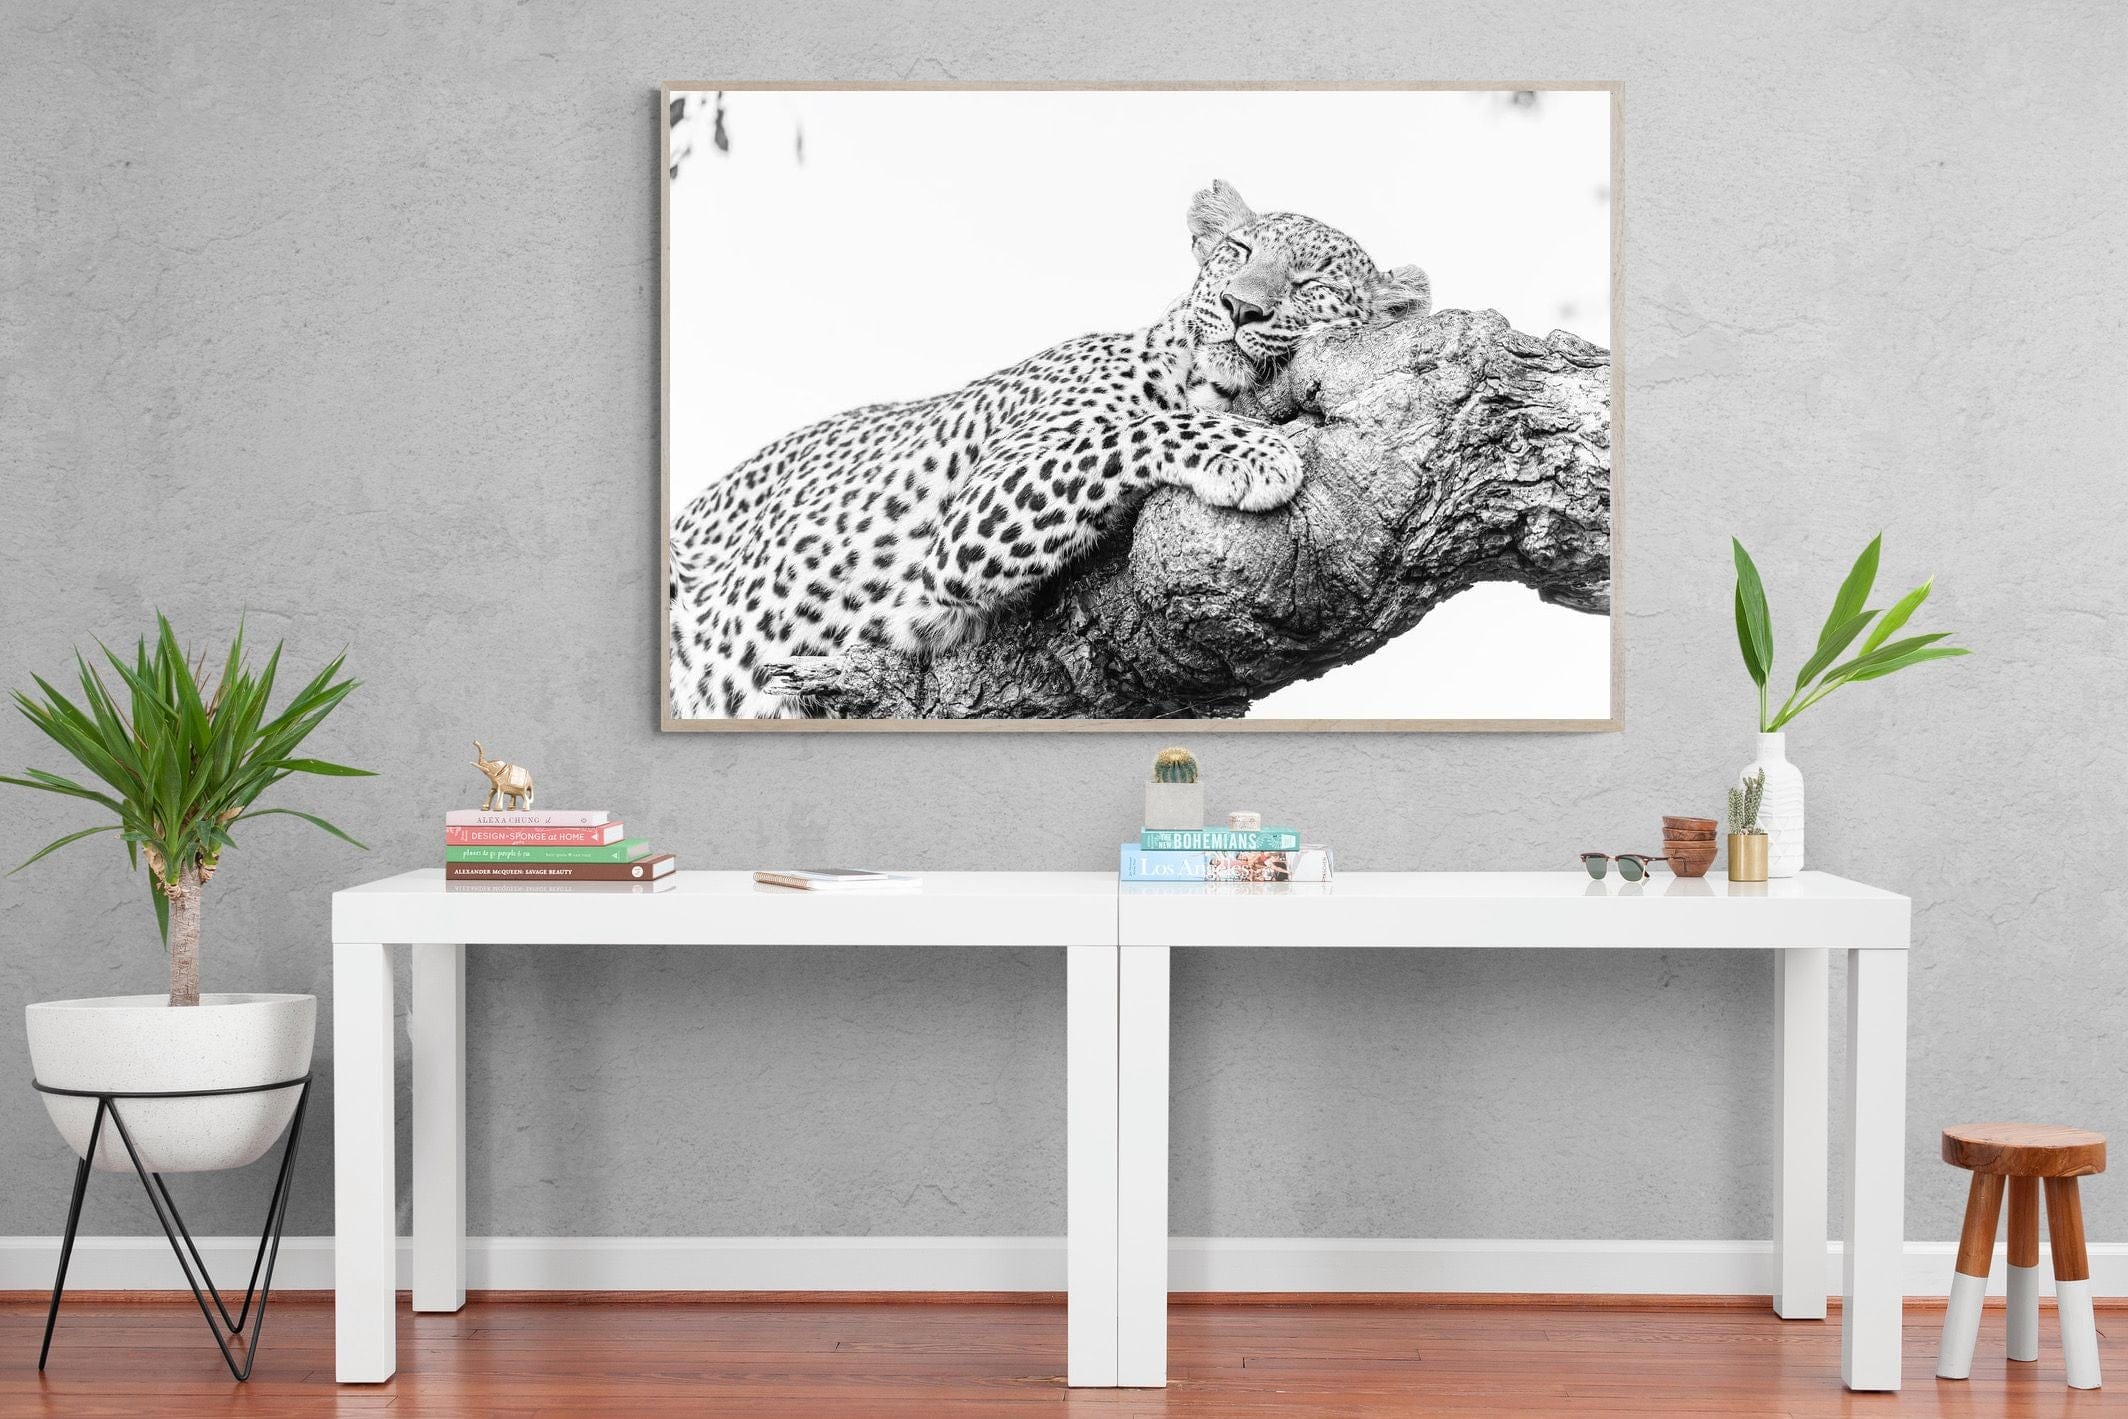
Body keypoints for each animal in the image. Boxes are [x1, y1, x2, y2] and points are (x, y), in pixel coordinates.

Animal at [667, 179, 1429, 719]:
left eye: (1311, 283)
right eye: (1238, 254)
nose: (1243, 308)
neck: (1200, 376)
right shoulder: (973, 514)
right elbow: (1131, 432)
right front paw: (1254, 452)